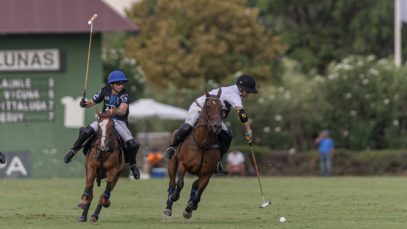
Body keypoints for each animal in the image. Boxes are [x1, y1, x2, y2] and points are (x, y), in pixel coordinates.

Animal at [163, 87, 223, 218]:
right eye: (207, 106)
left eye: (221, 108)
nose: (217, 126)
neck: (203, 143)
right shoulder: (183, 165)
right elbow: (180, 183)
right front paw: (174, 197)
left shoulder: (207, 173)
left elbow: (199, 190)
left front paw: (190, 208)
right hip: (172, 164)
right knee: (172, 183)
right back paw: (168, 206)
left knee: (194, 185)